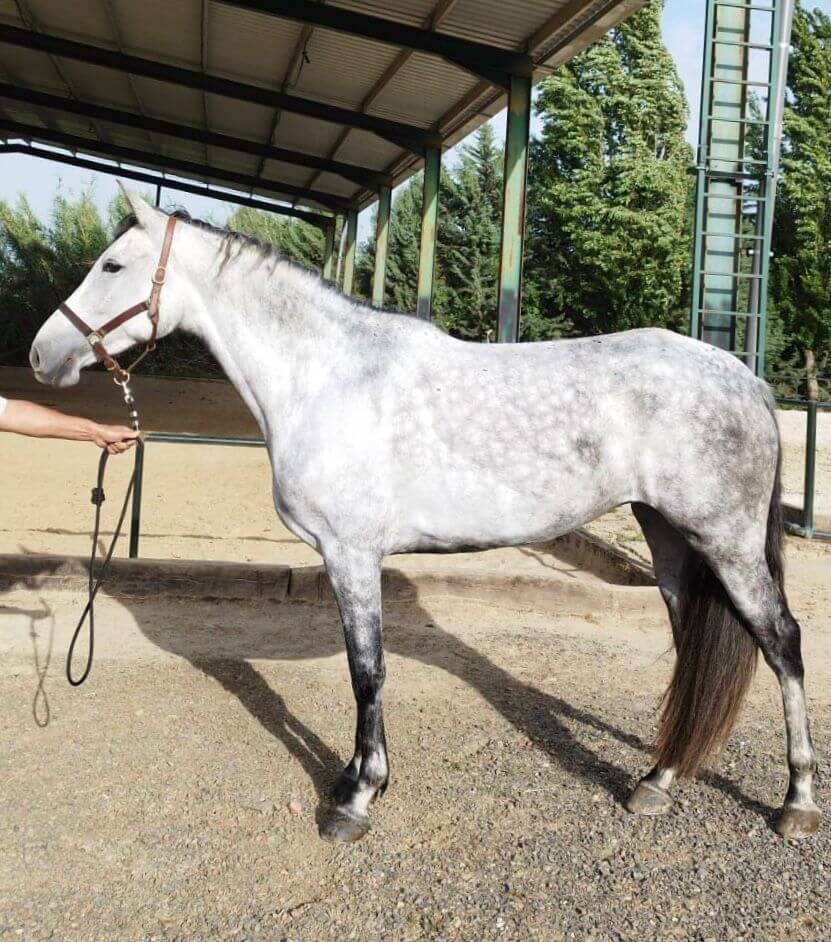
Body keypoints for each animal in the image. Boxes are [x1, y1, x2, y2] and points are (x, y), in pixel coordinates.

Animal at [29, 187, 819, 843]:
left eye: (112, 265)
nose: (42, 354)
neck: (326, 376)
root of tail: (746, 378)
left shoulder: (351, 553)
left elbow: (367, 671)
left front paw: (356, 798)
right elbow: (362, 672)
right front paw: (355, 780)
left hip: (725, 538)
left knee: (780, 640)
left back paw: (796, 802)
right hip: (669, 538)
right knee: (695, 644)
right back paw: (657, 781)